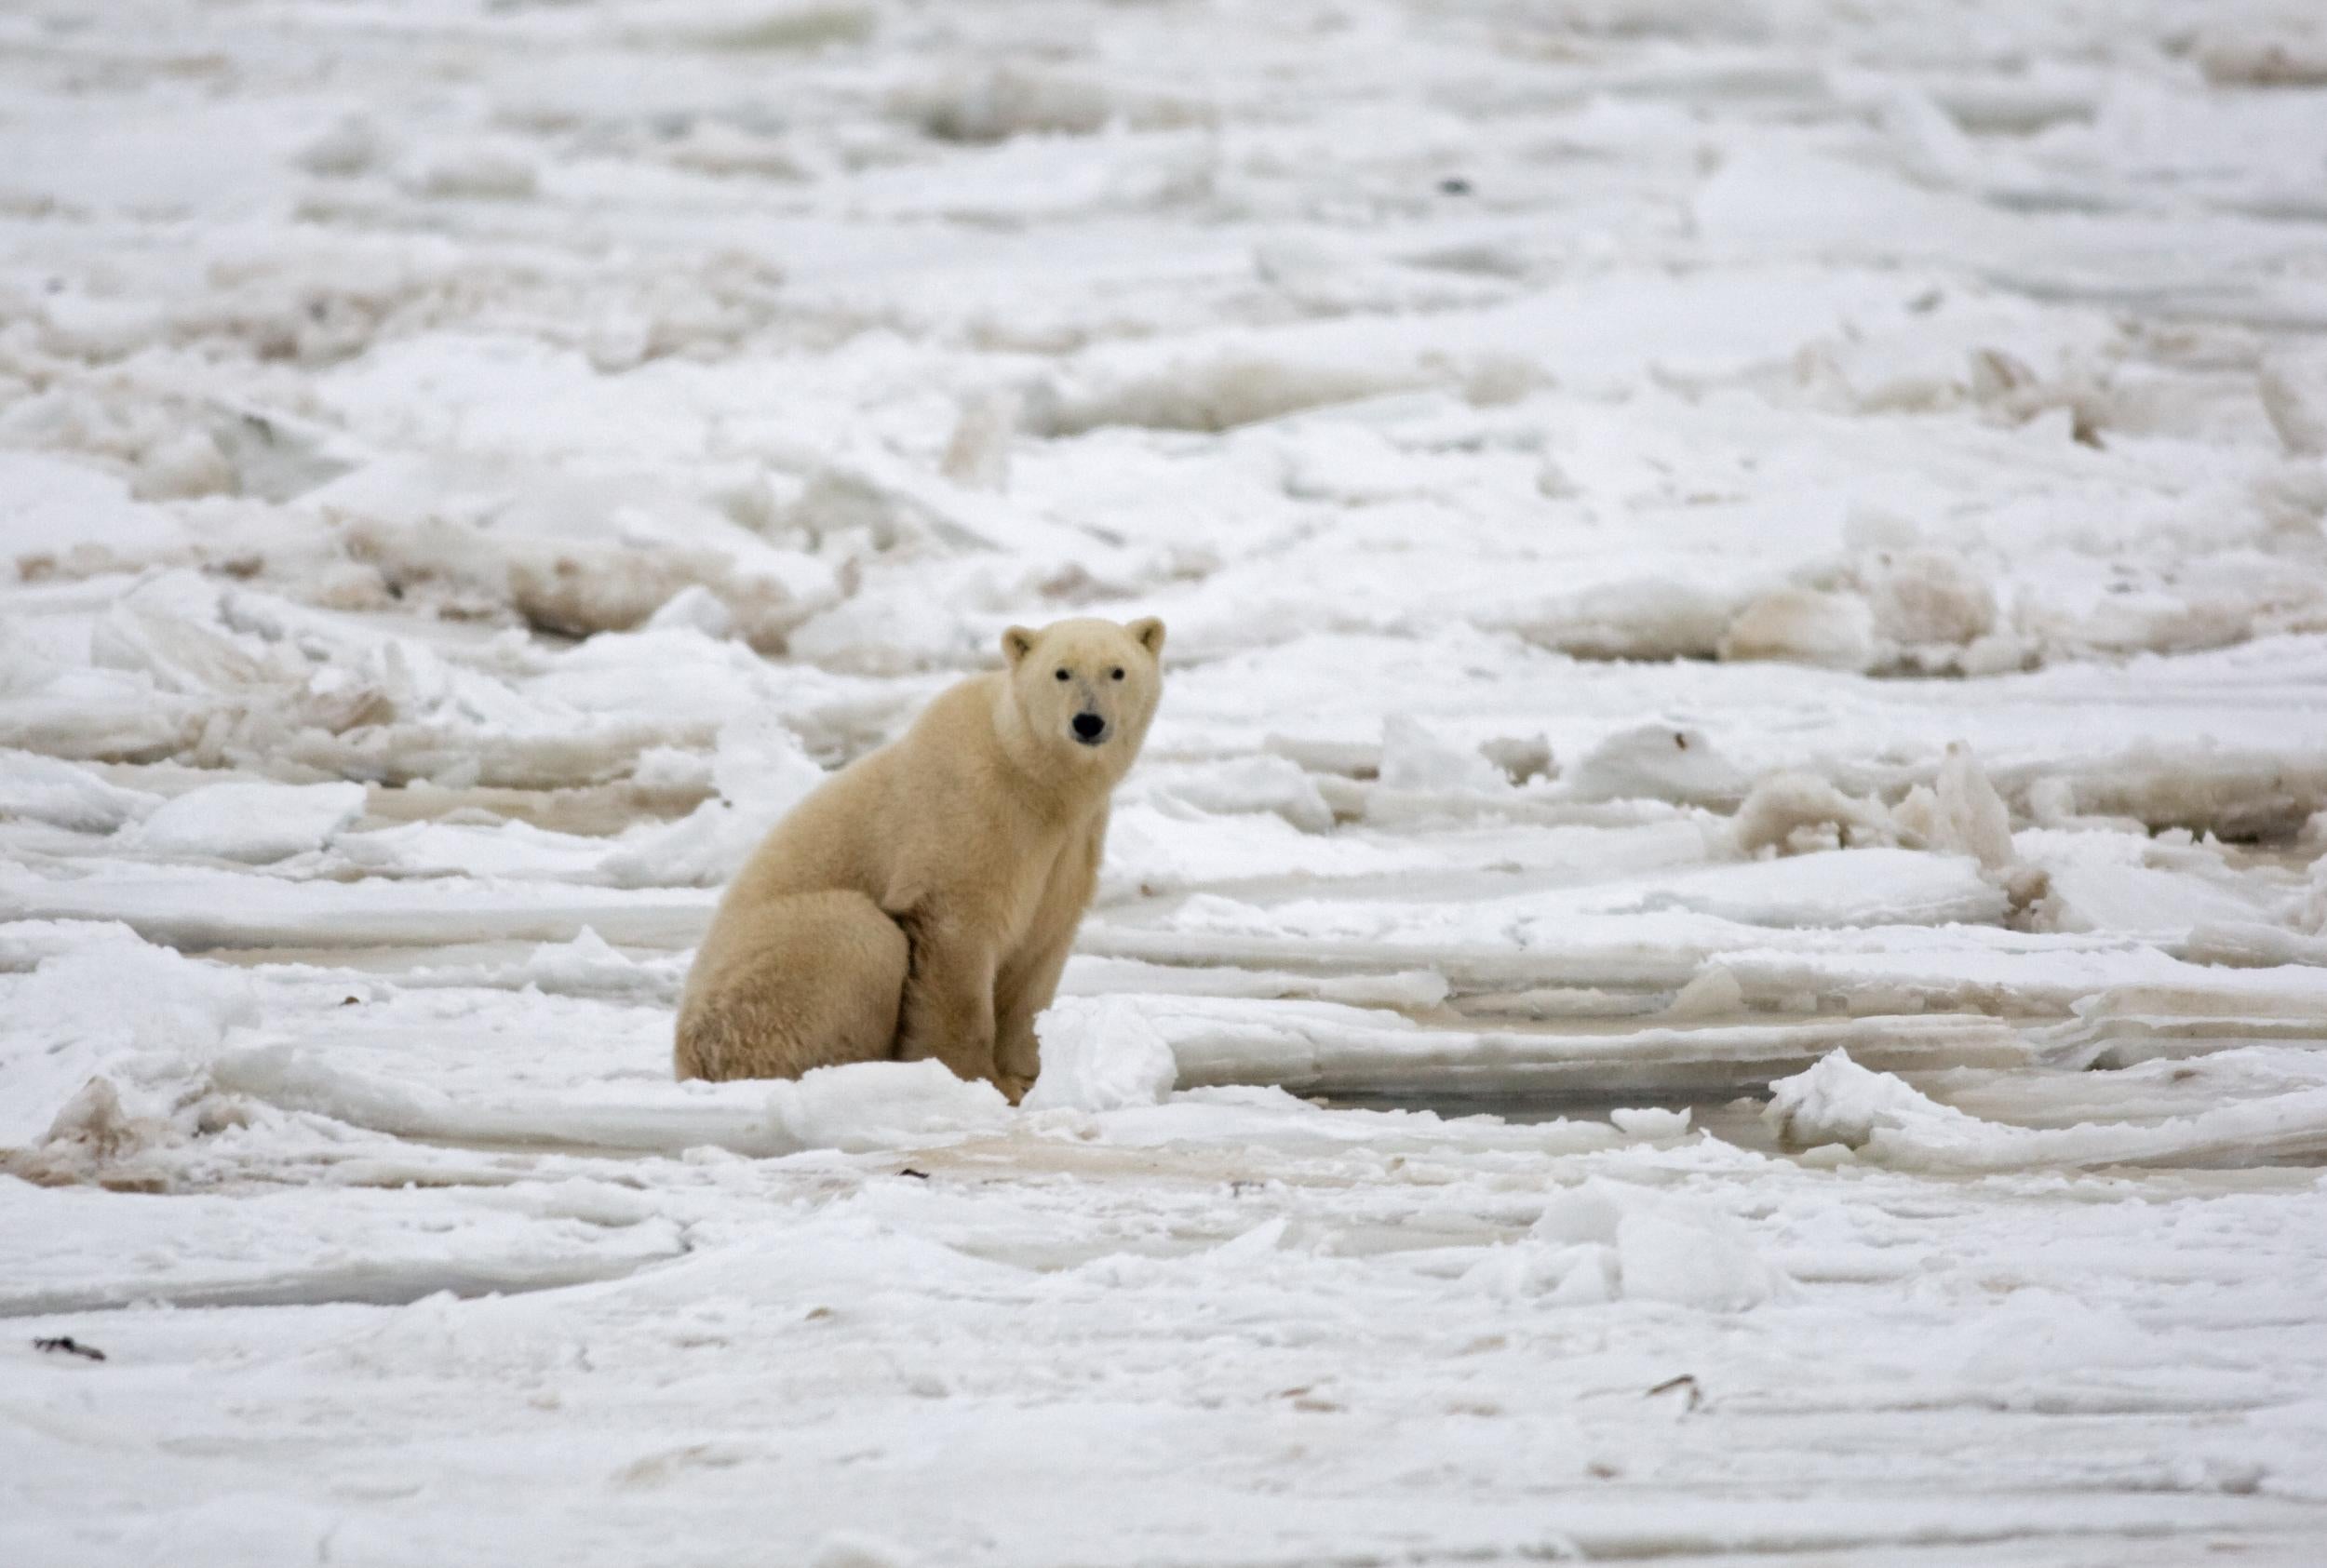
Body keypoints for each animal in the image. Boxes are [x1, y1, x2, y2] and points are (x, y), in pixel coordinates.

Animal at [679, 614, 1164, 1098]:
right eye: (1062, 672)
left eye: (1117, 671)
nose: (1088, 722)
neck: (1033, 776)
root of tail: (687, 1062)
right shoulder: (970, 814)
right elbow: (956, 941)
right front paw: (979, 1079)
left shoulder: (1069, 846)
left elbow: (1039, 949)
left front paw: (1028, 1075)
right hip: (760, 983)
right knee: (856, 933)